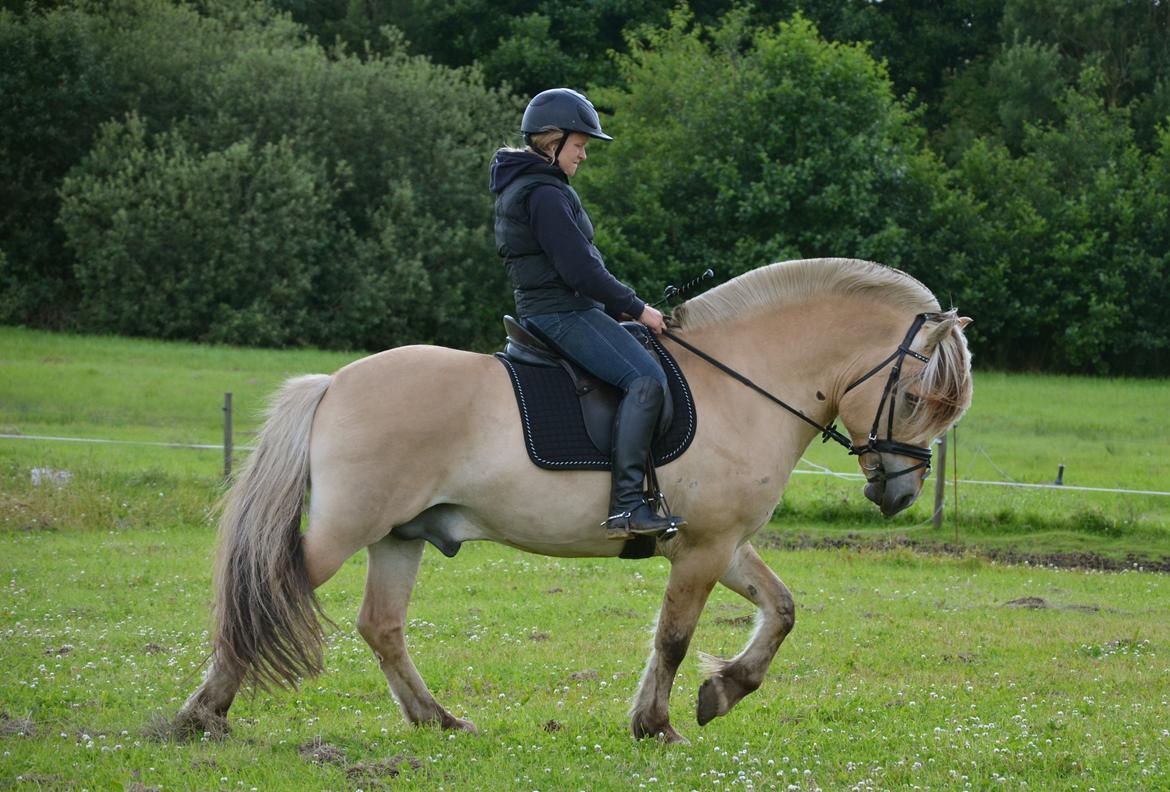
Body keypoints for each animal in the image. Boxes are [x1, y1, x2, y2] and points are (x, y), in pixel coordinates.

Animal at [173, 257, 973, 739]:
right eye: (914, 396)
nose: (899, 492)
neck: (743, 382)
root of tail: (335, 384)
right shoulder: (705, 546)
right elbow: (674, 635)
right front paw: (657, 724)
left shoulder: (722, 543)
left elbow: (780, 610)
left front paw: (722, 692)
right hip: (346, 530)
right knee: (264, 595)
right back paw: (198, 717)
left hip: (399, 536)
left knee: (382, 627)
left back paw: (440, 720)